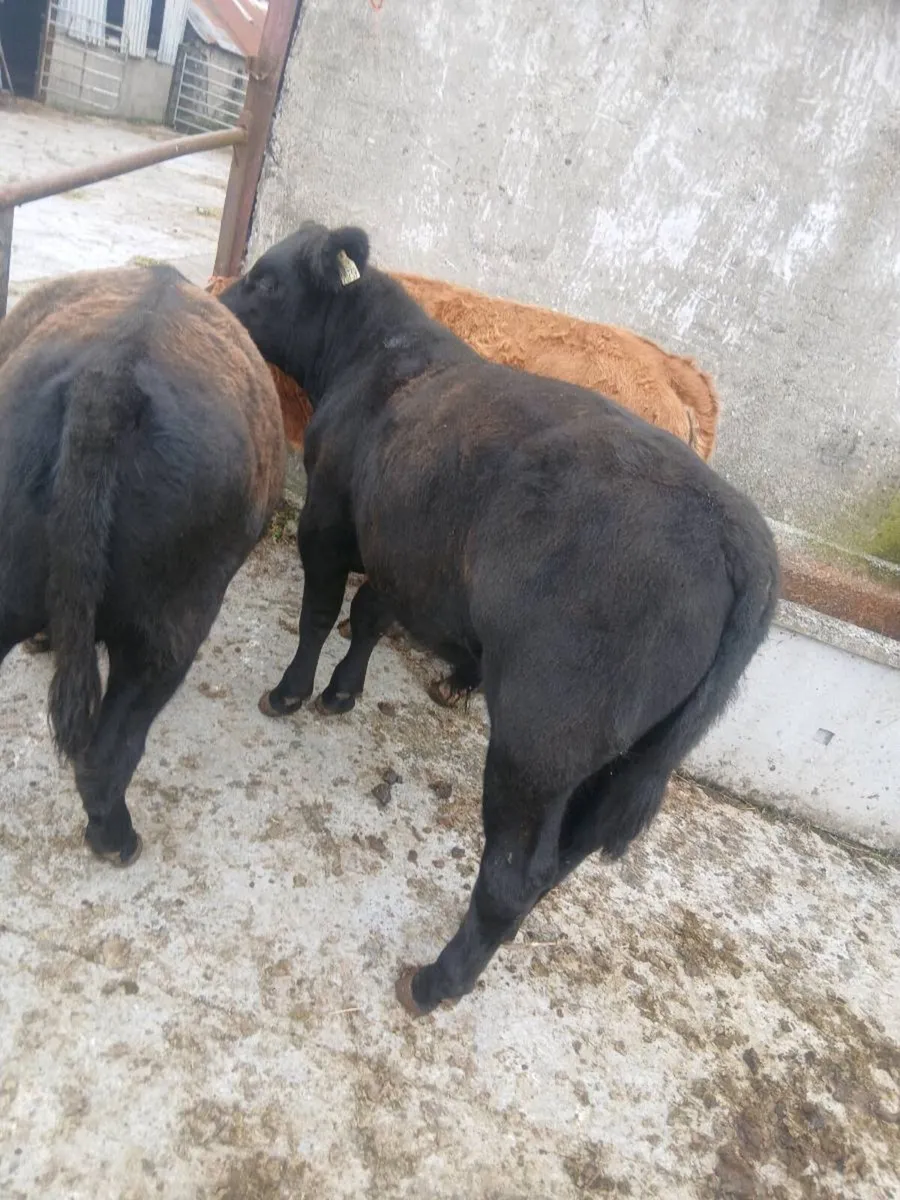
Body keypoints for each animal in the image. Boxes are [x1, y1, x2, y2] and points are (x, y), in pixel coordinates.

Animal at [219, 221, 779, 1016]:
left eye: (265, 281)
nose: (218, 302)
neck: (376, 357)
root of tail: (739, 534)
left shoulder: (328, 518)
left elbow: (321, 611)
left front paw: (291, 692)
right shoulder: (405, 547)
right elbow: (370, 614)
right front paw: (343, 692)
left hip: (539, 740)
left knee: (514, 873)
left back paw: (434, 982)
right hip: (617, 759)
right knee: (555, 865)